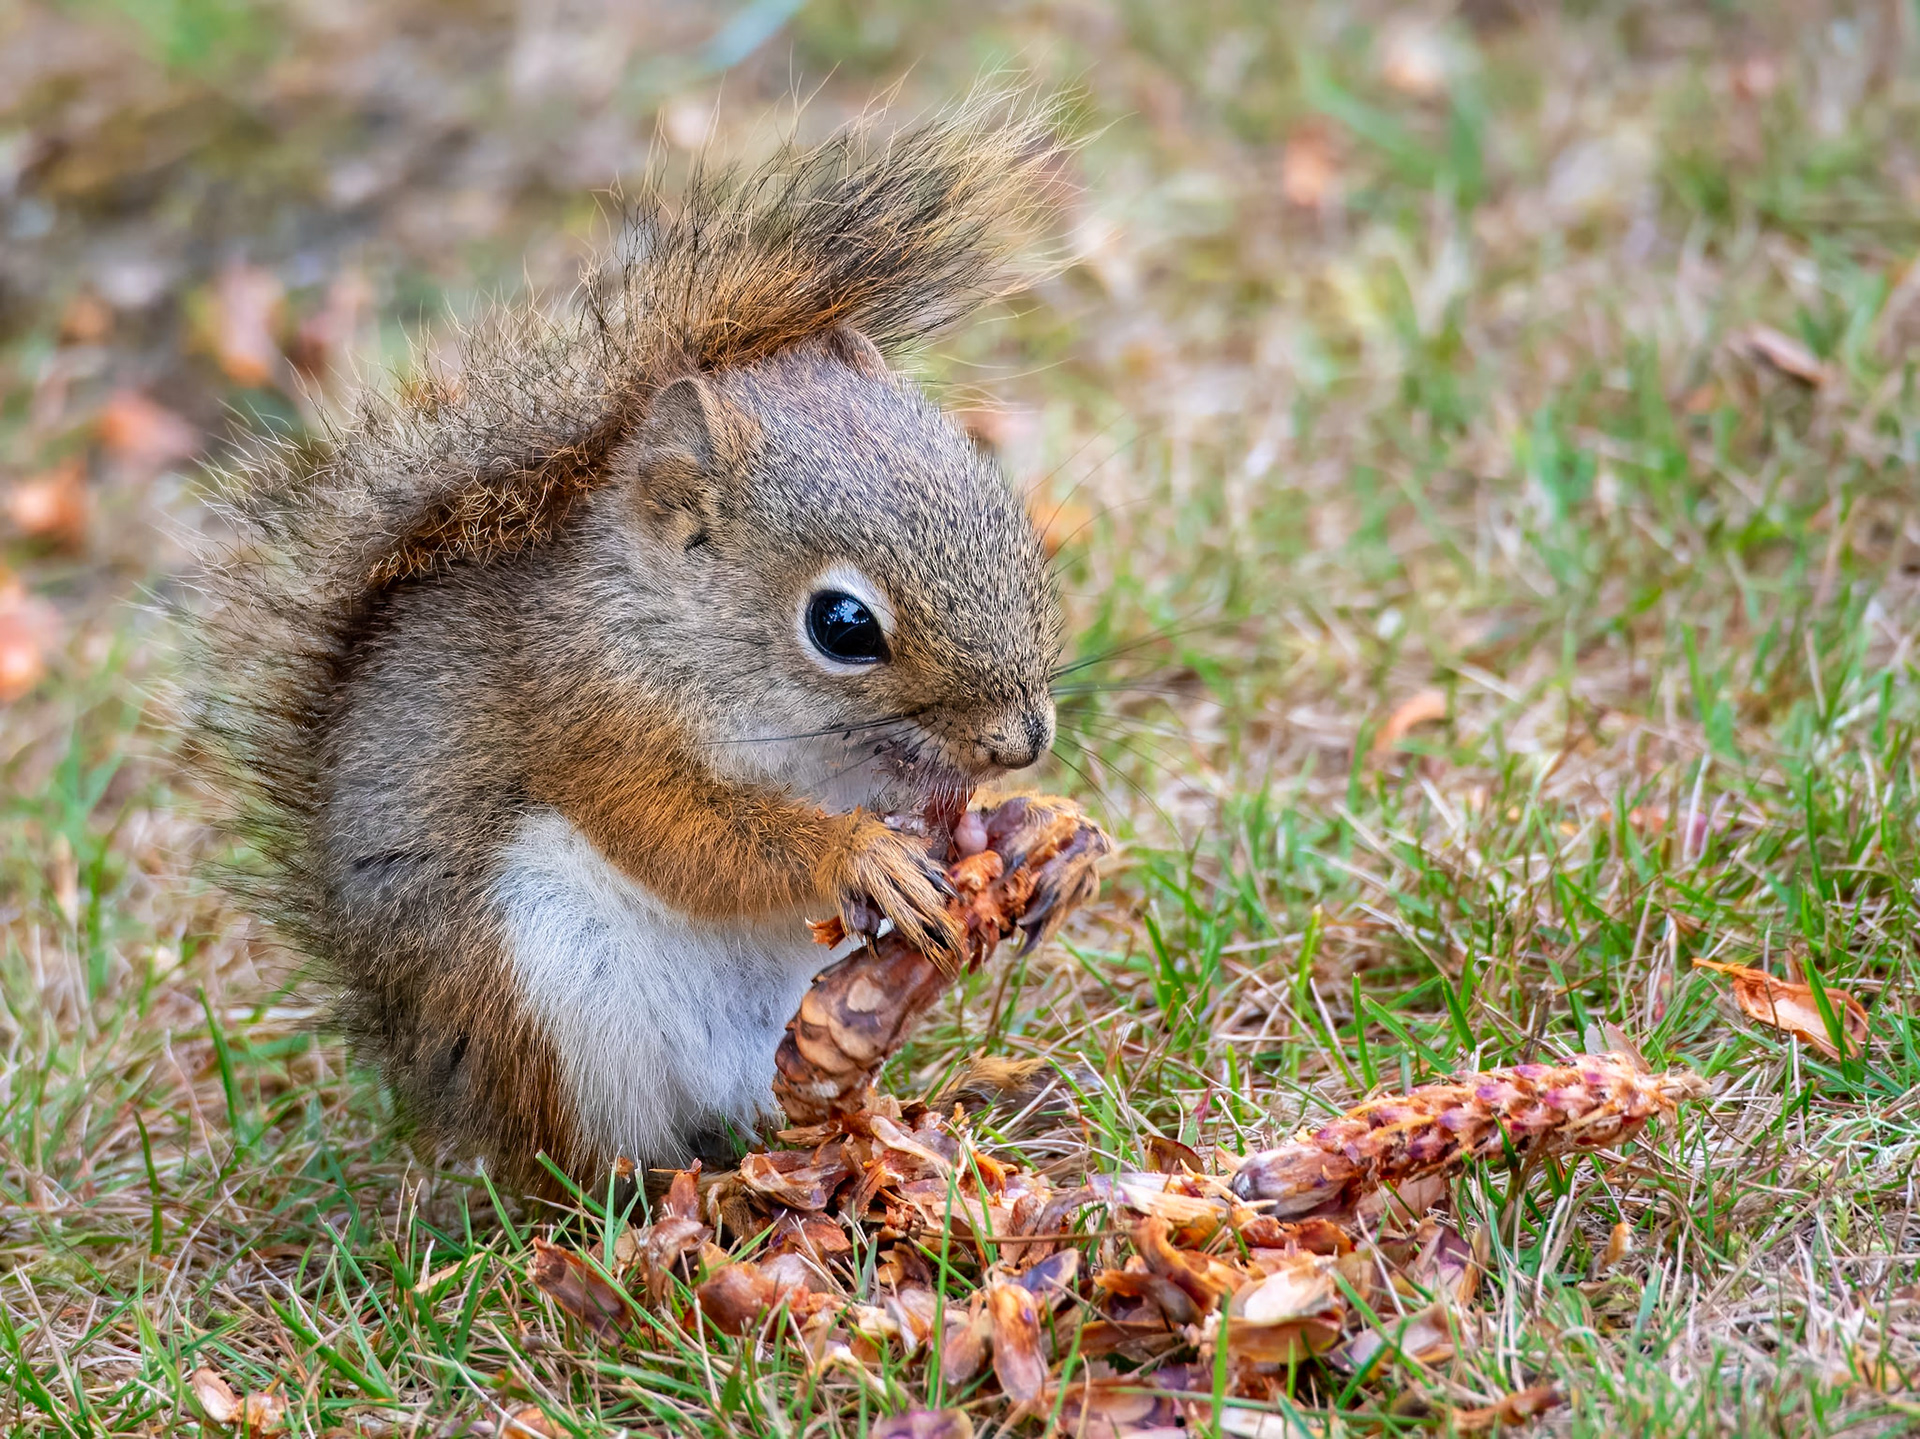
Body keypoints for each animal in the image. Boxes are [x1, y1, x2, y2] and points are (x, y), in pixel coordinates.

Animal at [183, 97, 1073, 1191]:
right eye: (843, 625)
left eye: (1001, 502)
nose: (1021, 739)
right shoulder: (590, 719)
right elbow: (684, 835)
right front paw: (859, 855)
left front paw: (1038, 834)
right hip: (541, 994)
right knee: (578, 1164)